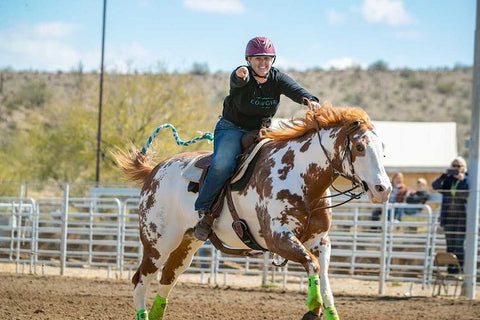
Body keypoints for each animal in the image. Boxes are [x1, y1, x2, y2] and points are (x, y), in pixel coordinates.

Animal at [114, 104, 392, 318]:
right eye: (359, 147)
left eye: (383, 148)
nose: (384, 189)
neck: (301, 177)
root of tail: (154, 171)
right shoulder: (278, 239)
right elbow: (312, 266)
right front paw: (312, 308)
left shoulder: (320, 241)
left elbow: (324, 281)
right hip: (158, 244)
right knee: (140, 281)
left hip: (187, 244)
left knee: (167, 278)